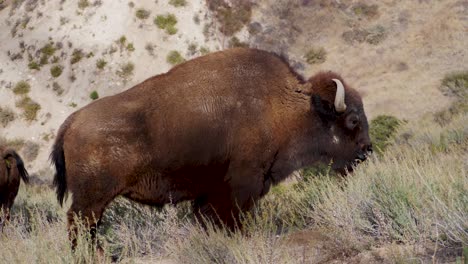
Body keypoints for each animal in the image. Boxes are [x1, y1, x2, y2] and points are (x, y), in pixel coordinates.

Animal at [50, 47, 372, 245]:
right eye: (353, 119)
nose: (367, 150)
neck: (286, 106)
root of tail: (72, 121)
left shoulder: (210, 195)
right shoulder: (242, 186)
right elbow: (234, 222)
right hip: (91, 200)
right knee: (80, 227)